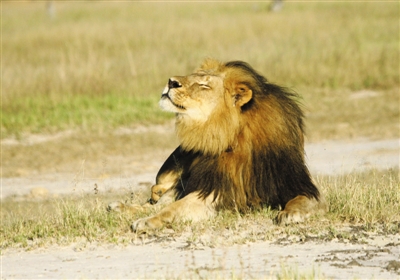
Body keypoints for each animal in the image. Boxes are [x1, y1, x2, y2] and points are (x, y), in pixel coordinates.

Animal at [109, 58, 324, 232]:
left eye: (204, 85)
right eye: (193, 76)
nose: (171, 82)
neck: (232, 136)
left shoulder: (295, 184)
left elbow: (303, 199)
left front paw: (290, 214)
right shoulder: (213, 189)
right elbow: (173, 207)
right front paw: (147, 221)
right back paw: (120, 207)